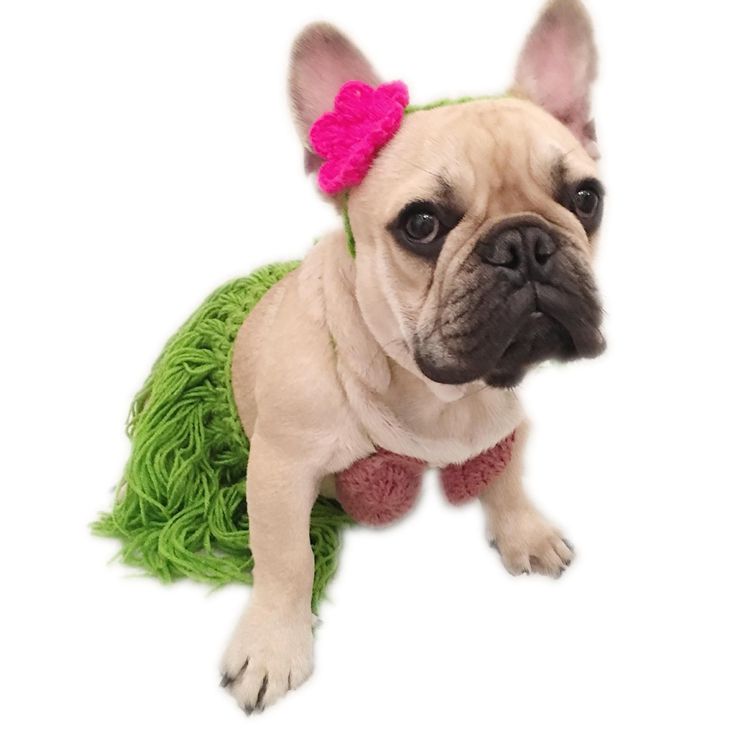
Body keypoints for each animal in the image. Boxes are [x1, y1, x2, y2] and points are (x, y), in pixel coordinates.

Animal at [217, 0, 604, 712]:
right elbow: (285, 560)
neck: (436, 391)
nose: (525, 244)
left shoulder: (502, 421)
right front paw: (274, 645)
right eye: (421, 224)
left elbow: (506, 477)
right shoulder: (280, 469)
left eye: (586, 199)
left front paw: (523, 532)